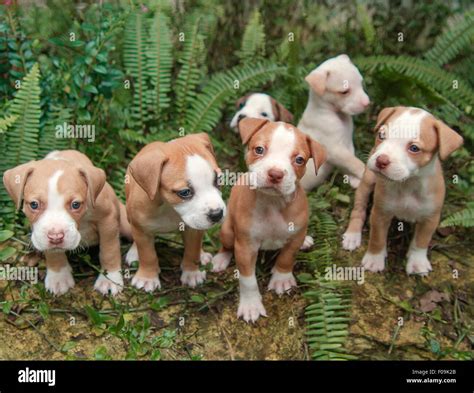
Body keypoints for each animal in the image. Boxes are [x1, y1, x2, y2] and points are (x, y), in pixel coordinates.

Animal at [2, 150, 131, 294]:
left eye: (75, 204)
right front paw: (58, 276)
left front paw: (110, 279)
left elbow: (109, 250)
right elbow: (53, 252)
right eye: (34, 205)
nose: (56, 237)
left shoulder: (108, 219)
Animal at [124, 133, 224, 290]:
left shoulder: (193, 229)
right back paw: (135, 252)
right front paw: (147, 278)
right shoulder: (141, 228)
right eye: (184, 192)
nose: (217, 214)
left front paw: (192, 273)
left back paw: (201, 255)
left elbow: (192, 250)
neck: (169, 207)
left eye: (219, 179)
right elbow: (147, 254)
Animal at [211, 118, 326, 320]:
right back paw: (221, 259)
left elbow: (287, 257)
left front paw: (281, 279)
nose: (275, 174)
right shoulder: (245, 247)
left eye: (299, 160)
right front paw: (251, 305)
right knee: (226, 245)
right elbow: (248, 279)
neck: (272, 203)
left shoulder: (294, 236)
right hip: (227, 231)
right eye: (259, 149)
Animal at [296, 54, 370, 190]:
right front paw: (365, 173)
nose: (367, 103)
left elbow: (349, 162)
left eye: (361, 83)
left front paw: (354, 179)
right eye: (344, 92)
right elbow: (354, 162)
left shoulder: (347, 144)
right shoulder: (334, 149)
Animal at [342, 105, 464, 274]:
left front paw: (417, 262)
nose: (381, 160)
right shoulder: (380, 213)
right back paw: (353, 235)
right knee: (359, 209)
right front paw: (374, 259)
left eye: (414, 148)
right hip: (367, 183)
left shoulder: (430, 218)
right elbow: (377, 238)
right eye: (381, 135)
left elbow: (421, 241)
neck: (408, 184)